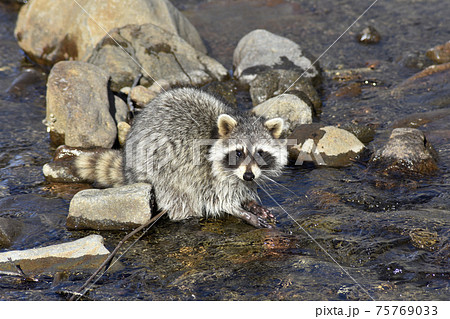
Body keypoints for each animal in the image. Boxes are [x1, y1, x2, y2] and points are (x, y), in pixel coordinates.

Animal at [75, 87, 286, 228]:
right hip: (158, 171)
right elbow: (217, 200)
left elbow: (242, 188)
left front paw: (251, 203)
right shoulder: (204, 172)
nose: (249, 176)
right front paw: (241, 212)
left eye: (260, 152)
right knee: (180, 197)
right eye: (239, 152)